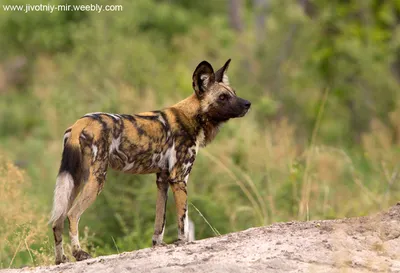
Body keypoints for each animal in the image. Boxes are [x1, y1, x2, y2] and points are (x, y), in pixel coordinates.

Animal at [49, 59, 250, 264]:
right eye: (223, 97)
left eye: (234, 92)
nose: (248, 104)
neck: (192, 116)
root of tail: (80, 123)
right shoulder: (179, 178)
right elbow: (183, 220)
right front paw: (182, 243)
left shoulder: (162, 180)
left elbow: (159, 222)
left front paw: (159, 245)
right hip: (96, 180)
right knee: (72, 214)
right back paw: (79, 253)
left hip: (76, 181)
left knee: (57, 220)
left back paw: (61, 260)